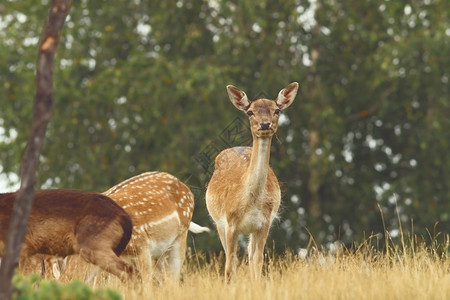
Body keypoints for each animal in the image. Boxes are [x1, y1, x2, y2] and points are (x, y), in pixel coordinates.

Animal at [207, 82, 298, 282]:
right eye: (250, 112)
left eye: (277, 110)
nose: (265, 124)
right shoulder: (229, 222)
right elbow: (229, 266)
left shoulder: (264, 224)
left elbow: (258, 261)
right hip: (219, 224)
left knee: (250, 254)